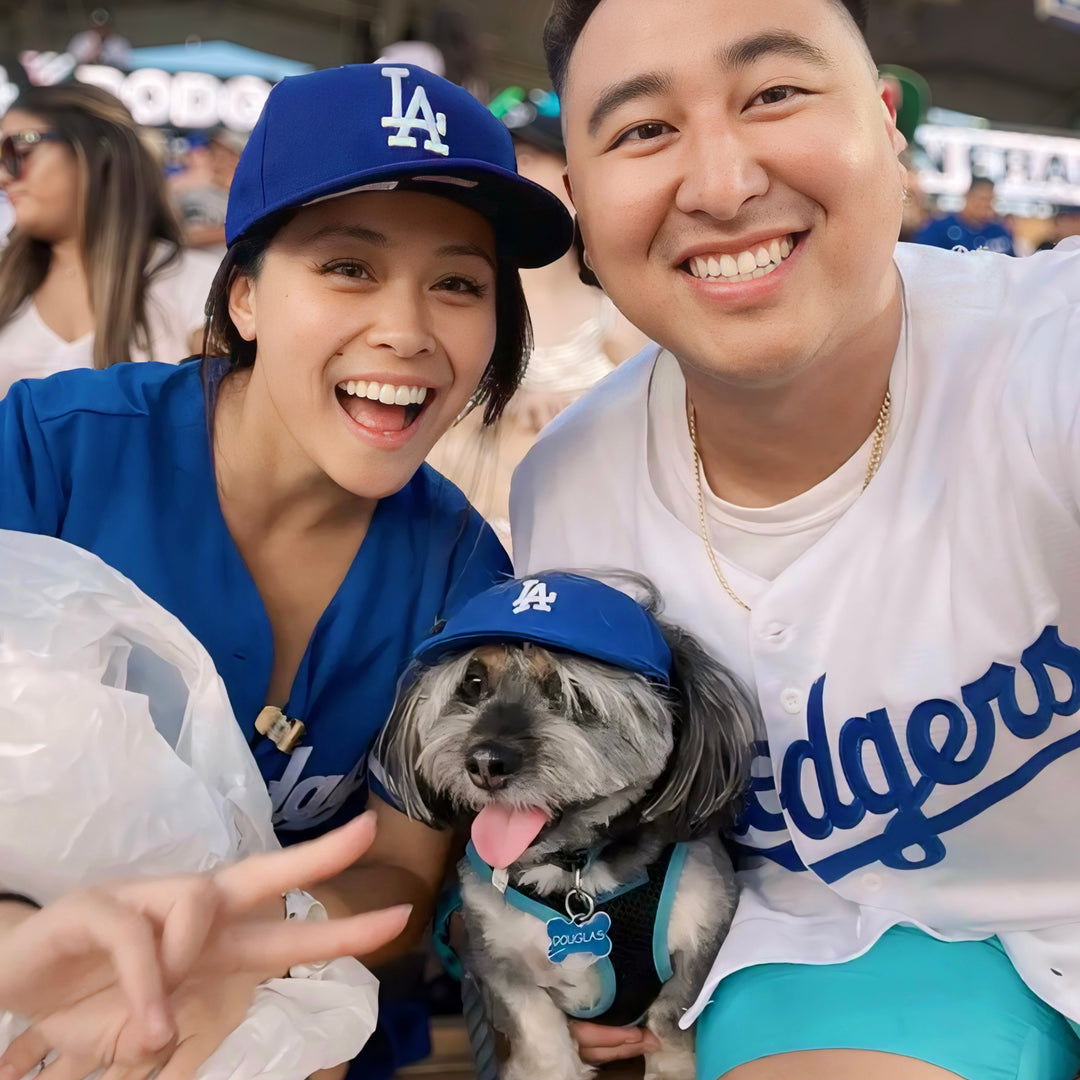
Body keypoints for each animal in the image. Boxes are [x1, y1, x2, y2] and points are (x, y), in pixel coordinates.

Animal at [375, 570, 756, 1075]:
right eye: (473, 682)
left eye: (572, 692)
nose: (485, 762)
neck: (575, 874)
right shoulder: (495, 958)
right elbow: (539, 1033)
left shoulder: (701, 942)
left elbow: (672, 1025)